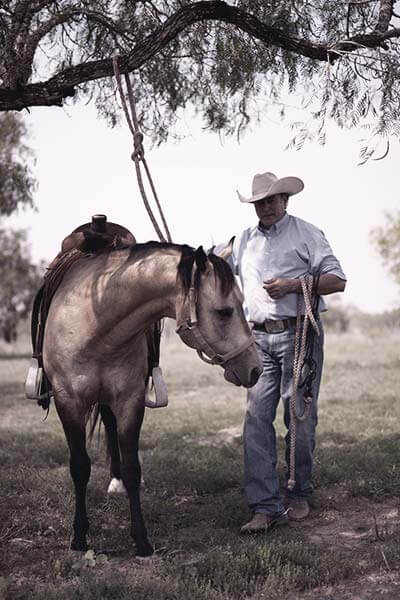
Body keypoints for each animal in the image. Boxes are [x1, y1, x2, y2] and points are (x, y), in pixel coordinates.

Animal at [41, 239, 262, 556]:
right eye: (224, 312)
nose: (255, 369)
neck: (95, 323)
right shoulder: (67, 401)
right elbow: (80, 466)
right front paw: (79, 537)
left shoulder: (130, 400)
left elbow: (133, 468)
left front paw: (142, 540)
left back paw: (117, 482)